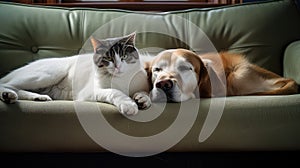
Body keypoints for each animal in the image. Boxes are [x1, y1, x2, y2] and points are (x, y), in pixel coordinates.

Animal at [0, 32, 150, 115]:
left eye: (124, 56)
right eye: (108, 59)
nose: (118, 66)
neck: (122, 80)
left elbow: (145, 93)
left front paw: (142, 99)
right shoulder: (89, 92)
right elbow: (115, 92)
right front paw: (129, 104)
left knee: (17, 89)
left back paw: (38, 97)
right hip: (49, 74)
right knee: (7, 85)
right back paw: (8, 95)